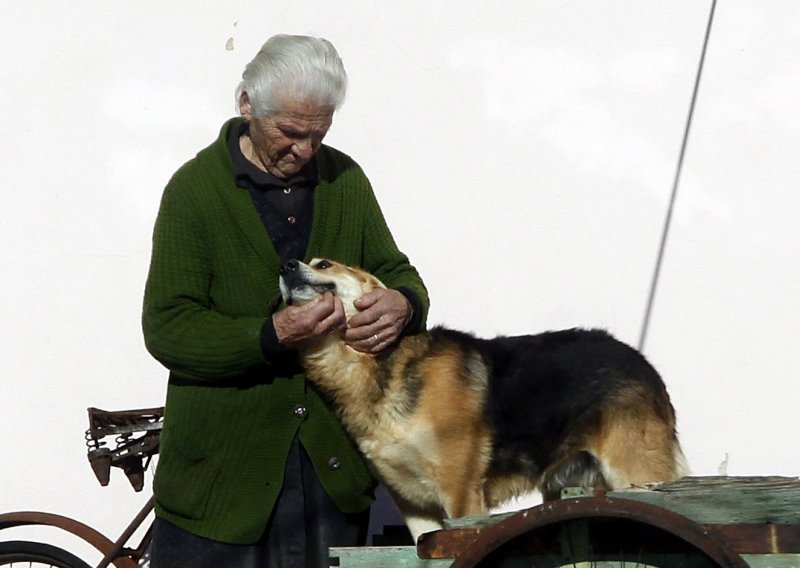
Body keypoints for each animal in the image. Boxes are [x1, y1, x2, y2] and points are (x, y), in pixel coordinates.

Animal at [280, 260, 688, 540]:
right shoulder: (414, 506)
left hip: (637, 476)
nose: (286, 265)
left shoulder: (460, 494)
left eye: (323, 264)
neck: (377, 363)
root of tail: (640, 360)